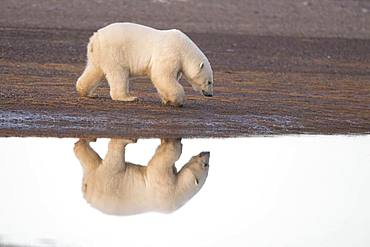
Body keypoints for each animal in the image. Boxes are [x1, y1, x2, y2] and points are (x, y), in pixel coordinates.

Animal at [73, 138, 210, 215]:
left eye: (206, 164)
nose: (207, 152)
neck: (179, 192)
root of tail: (88, 186)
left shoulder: (164, 187)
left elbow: (161, 160)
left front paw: (174, 143)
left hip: (111, 179)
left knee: (114, 157)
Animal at [75, 22, 214, 105]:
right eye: (209, 82)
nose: (210, 94)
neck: (184, 49)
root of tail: (94, 39)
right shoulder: (170, 53)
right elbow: (162, 76)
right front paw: (176, 100)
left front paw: (166, 99)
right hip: (114, 52)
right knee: (119, 74)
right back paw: (129, 97)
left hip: (99, 55)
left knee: (94, 70)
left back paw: (88, 93)